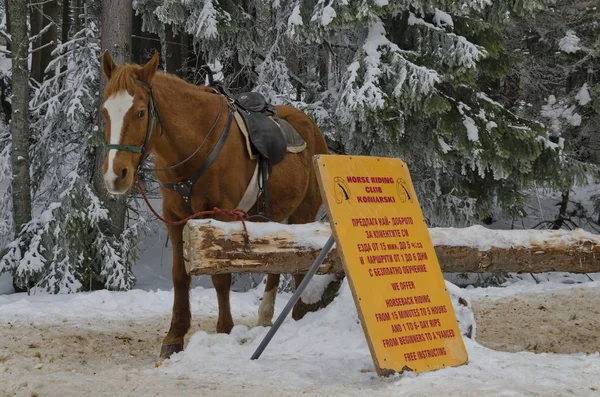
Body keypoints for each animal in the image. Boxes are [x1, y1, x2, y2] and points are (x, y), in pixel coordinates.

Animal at [99, 51, 328, 358]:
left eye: (140, 112)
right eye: (105, 112)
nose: (115, 175)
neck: (196, 146)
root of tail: (312, 128)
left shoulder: (223, 217)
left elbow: (221, 277)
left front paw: (224, 330)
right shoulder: (176, 217)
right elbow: (180, 276)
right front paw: (174, 336)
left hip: (304, 211)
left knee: (300, 264)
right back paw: (266, 316)